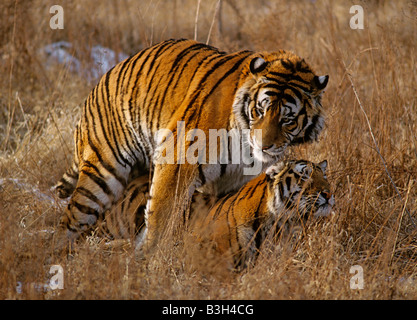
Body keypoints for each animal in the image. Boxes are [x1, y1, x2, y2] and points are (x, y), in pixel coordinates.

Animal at [55, 38, 328, 250]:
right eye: (260, 110)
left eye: (287, 119)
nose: (264, 146)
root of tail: (105, 77)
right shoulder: (176, 160)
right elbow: (162, 215)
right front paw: (152, 258)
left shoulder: (236, 182)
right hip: (103, 172)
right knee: (71, 218)